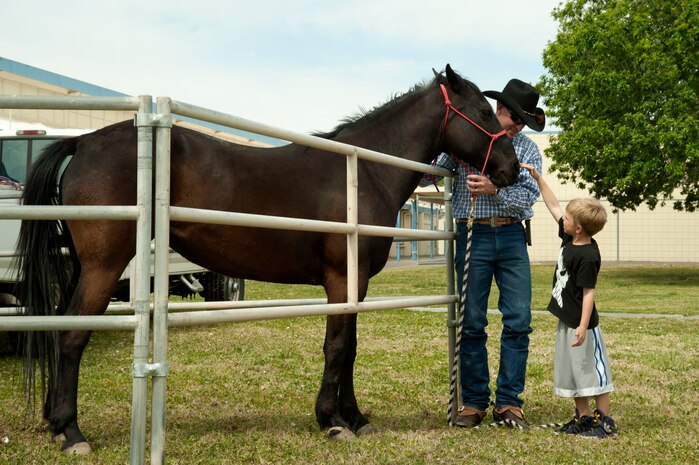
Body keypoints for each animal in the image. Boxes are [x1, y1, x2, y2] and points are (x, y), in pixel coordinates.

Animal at [14, 64, 519, 455]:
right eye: (481, 112)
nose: (511, 169)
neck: (361, 172)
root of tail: (84, 141)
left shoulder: (356, 284)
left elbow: (351, 347)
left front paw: (354, 417)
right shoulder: (343, 279)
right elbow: (337, 346)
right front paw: (332, 421)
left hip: (84, 266)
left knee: (59, 328)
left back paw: (55, 422)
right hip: (104, 265)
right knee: (72, 336)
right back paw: (72, 432)